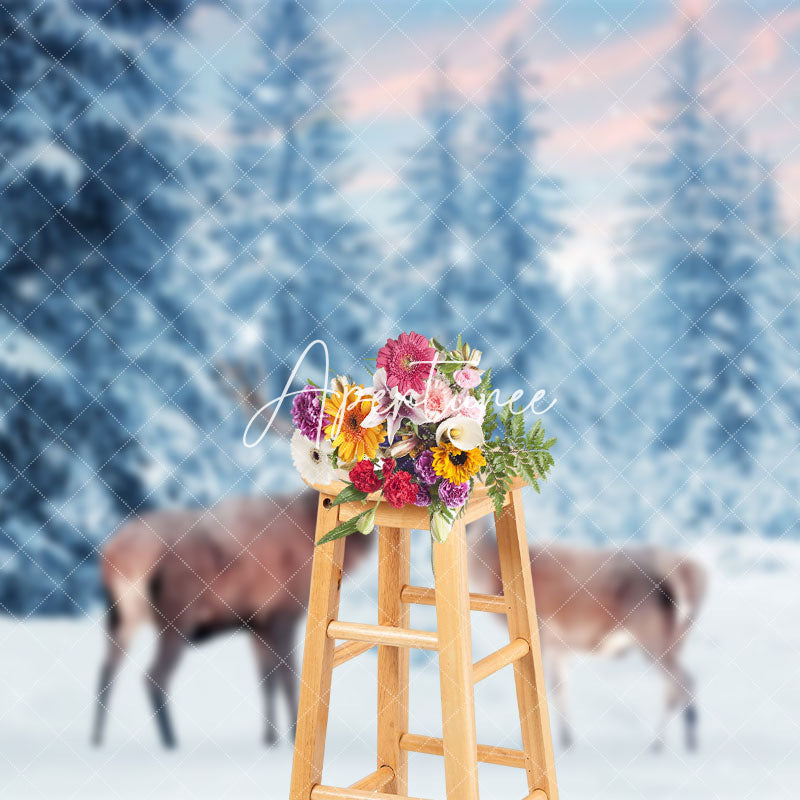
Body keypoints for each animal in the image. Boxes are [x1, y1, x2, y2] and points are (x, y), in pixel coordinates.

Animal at [472, 536, 704, 752]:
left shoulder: (544, 634)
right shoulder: (558, 646)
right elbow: (561, 686)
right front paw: (566, 739)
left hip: (652, 634)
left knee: (681, 681)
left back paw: (672, 742)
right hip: (676, 637)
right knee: (677, 685)